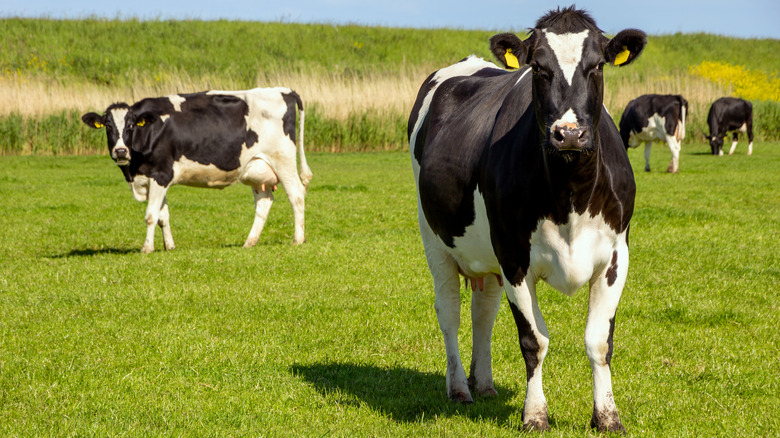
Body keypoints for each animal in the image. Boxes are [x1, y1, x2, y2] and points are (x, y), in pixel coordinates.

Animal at [82, 87, 312, 253]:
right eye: (108, 126)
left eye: (130, 125)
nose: (120, 151)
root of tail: (284, 90)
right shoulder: (155, 179)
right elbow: (163, 216)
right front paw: (169, 246)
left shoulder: (161, 175)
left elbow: (151, 215)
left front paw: (147, 248)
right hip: (256, 169)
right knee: (264, 203)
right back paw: (249, 242)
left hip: (283, 161)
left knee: (296, 195)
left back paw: (298, 239)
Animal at [408, 6, 645, 433]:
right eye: (538, 67)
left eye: (597, 65)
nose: (568, 133)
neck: (570, 195)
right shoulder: (514, 257)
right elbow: (535, 341)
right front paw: (535, 414)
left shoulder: (617, 256)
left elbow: (599, 340)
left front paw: (607, 416)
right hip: (436, 241)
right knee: (450, 312)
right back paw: (460, 388)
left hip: (486, 256)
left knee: (482, 313)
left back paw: (484, 384)